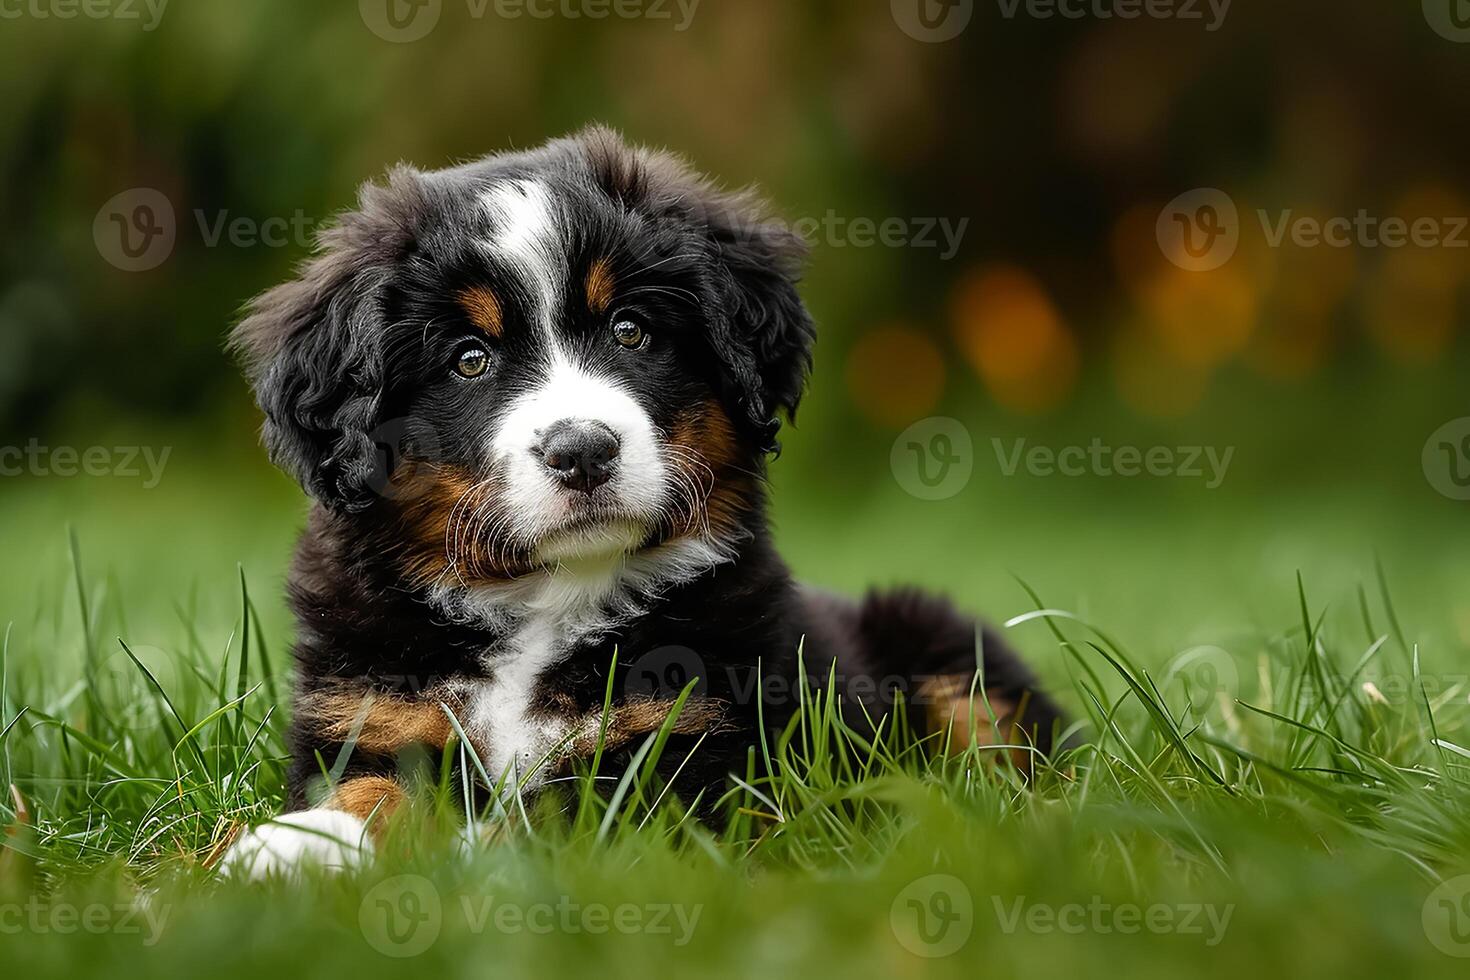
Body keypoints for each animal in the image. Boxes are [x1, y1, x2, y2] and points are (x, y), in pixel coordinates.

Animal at [223, 128, 1064, 875]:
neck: (542, 601)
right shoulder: (373, 715)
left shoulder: (692, 748)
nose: (582, 450)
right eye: (469, 359)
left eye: (631, 330)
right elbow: (372, 789)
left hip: (943, 645)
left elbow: (561, 816)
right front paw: (299, 845)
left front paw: (468, 852)